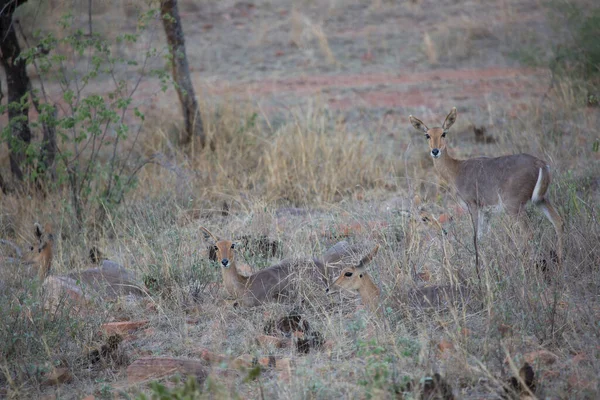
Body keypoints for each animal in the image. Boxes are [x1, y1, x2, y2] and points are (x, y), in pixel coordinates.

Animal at [408, 108, 564, 260]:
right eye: (427, 135)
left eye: (443, 133)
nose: (435, 151)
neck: (456, 170)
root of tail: (541, 164)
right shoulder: (486, 210)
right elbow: (483, 236)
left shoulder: (473, 205)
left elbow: (476, 237)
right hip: (541, 199)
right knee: (558, 221)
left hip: (514, 206)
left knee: (529, 232)